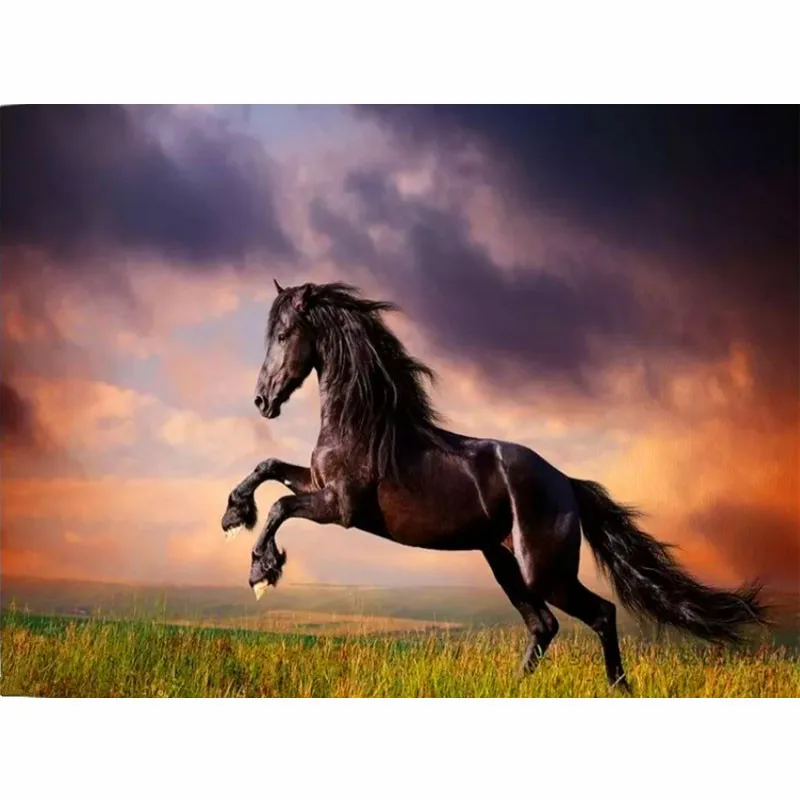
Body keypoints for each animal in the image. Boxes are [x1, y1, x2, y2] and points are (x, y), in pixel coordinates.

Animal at [221, 280, 768, 691]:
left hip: (544, 571)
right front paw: (233, 515)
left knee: (600, 613)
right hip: (504, 562)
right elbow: (269, 467)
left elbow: (281, 505)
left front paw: (262, 572)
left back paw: (619, 687)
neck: (364, 425)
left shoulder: (340, 508)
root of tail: (567, 484)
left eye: (284, 334)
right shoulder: (320, 484)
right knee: (544, 626)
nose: (262, 400)